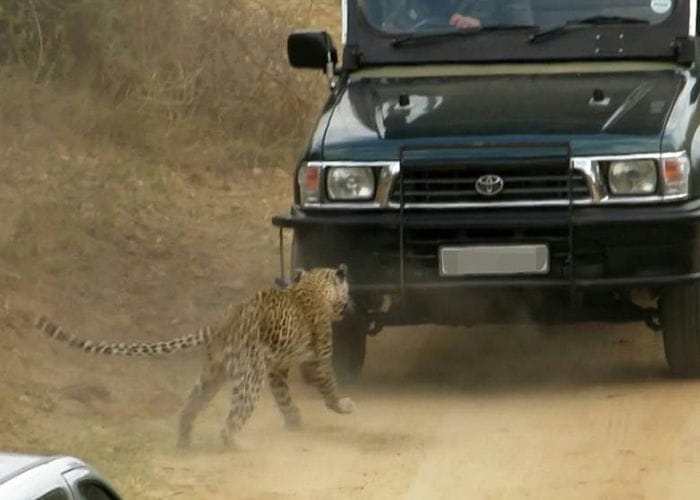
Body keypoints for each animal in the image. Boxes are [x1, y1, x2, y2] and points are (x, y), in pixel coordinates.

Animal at [32, 266, 356, 450]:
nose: (348, 304)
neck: (313, 286)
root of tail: (225, 319)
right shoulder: (320, 357)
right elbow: (328, 386)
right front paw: (343, 406)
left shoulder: (277, 368)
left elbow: (284, 397)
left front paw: (294, 421)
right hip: (249, 377)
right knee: (231, 421)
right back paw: (237, 445)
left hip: (213, 373)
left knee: (190, 407)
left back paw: (184, 442)